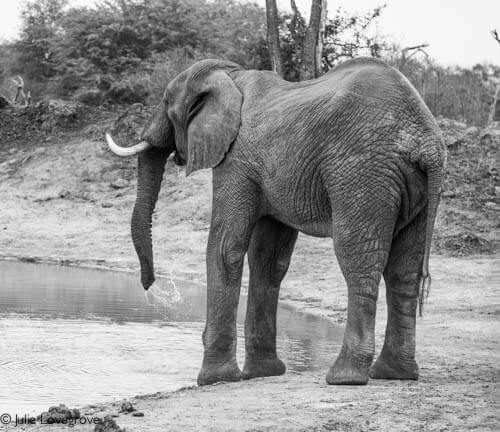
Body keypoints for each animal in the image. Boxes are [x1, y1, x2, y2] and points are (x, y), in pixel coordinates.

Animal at [106, 57, 446, 386]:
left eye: (166, 101)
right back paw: (394, 373)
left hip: (362, 173)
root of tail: (426, 141)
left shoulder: (236, 159)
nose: (149, 285)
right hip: (414, 189)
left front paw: (214, 379)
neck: (231, 74)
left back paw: (345, 377)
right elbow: (269, 259)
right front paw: (262, 373)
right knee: (404, 271)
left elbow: (225, 249)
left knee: (358, 260)